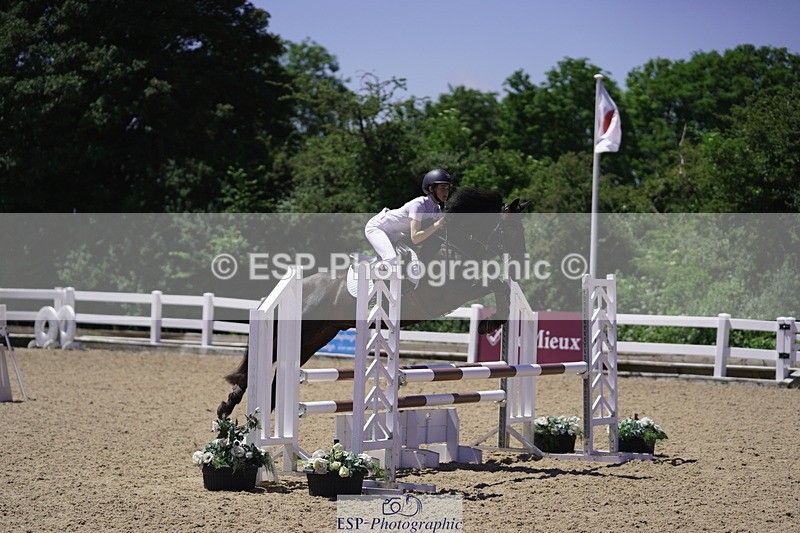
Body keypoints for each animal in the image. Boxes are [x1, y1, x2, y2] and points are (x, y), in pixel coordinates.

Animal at [216, 187, 530, 419]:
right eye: (511, 230)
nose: (522, 262)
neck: (452, 246)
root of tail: (302, 287)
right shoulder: (446, 294)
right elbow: (494, 282)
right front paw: (490, 323)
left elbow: (498, 283)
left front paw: (492, 322)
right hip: (302, 330)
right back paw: (230, 411)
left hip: (316, 336)